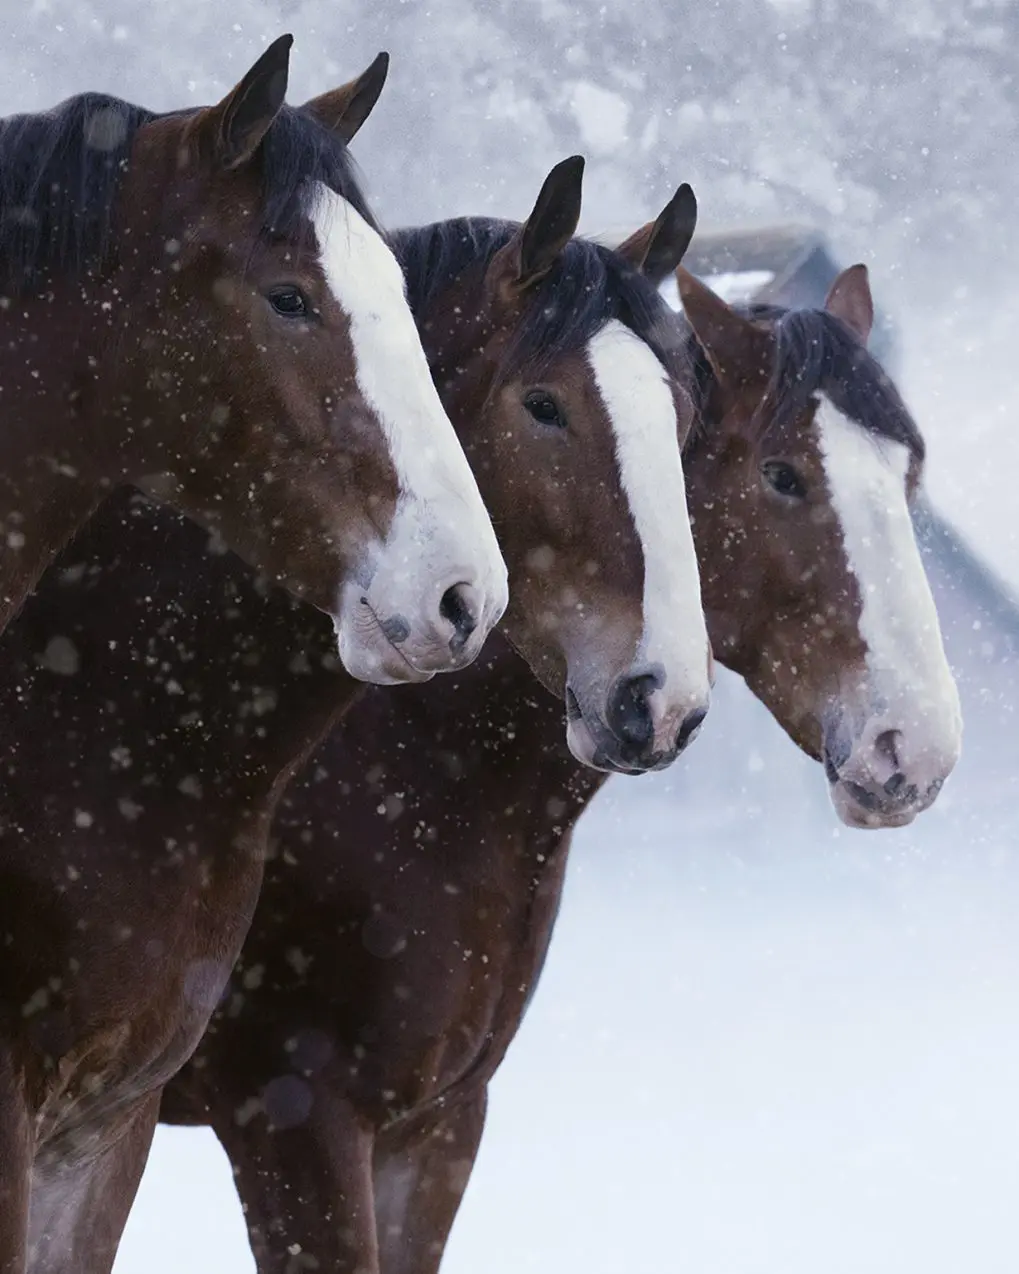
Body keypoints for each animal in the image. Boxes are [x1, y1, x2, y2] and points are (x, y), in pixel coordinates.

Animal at [161, 261, 962, 1274]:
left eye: (907, 474)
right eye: (783, 475)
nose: (916, 745)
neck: (409, 773)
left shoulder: (437, 1128)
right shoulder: (295, 1121)